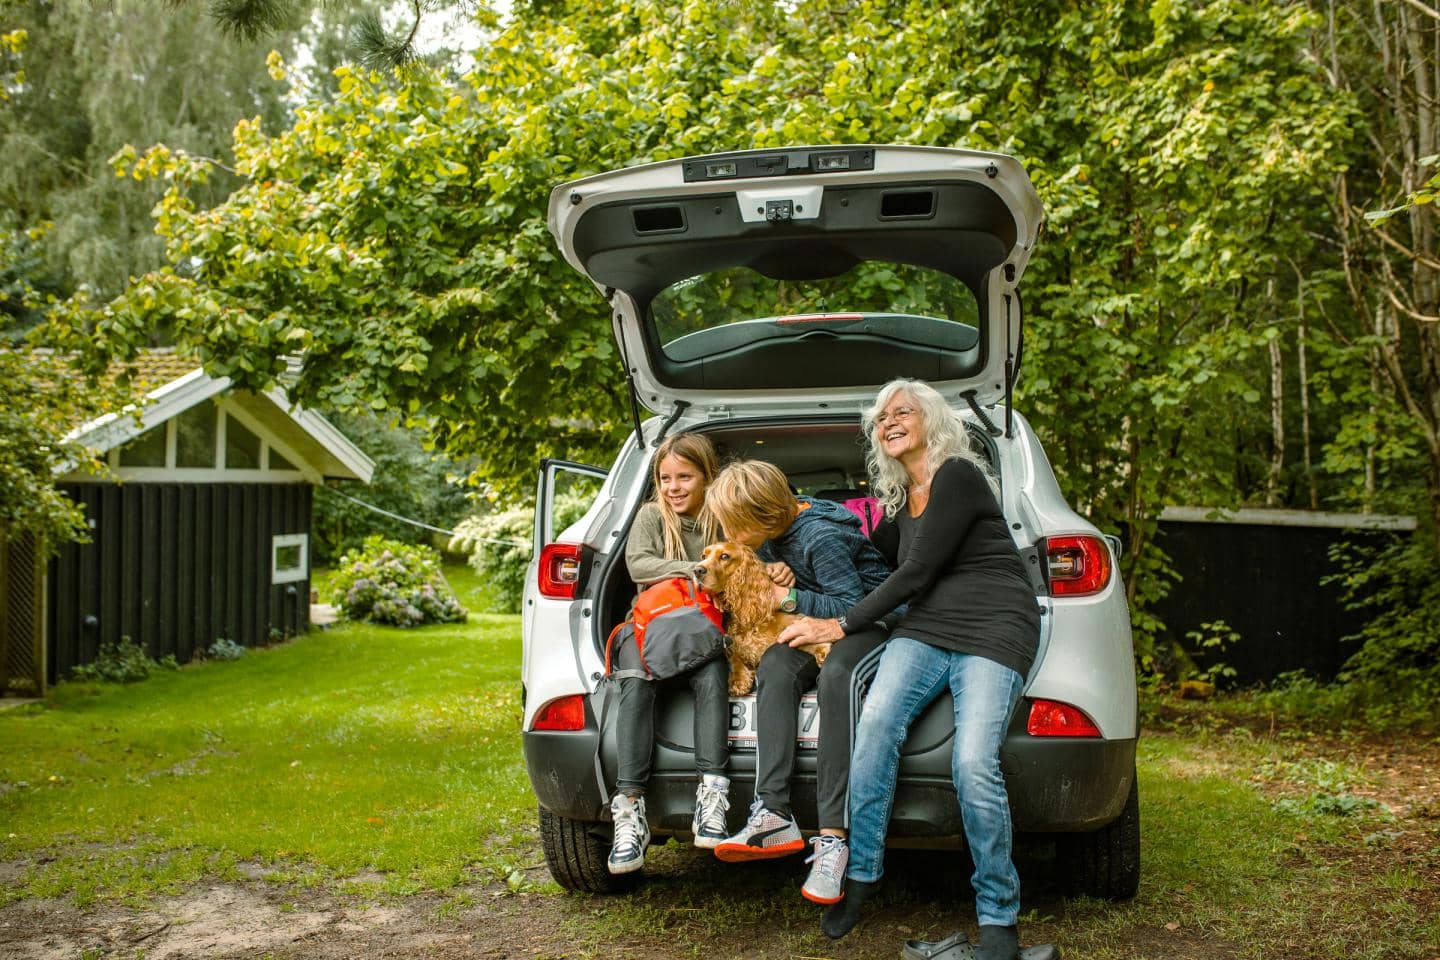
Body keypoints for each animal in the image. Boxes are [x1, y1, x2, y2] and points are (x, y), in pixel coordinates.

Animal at [696, 541, 835, 699]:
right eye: (703, 556)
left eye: (725, 556)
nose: (697, 570)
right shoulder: (735, 645)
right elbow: (735, 659)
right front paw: (737, 680)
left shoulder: (793, 624)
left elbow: (803, 635)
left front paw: (822, 649)